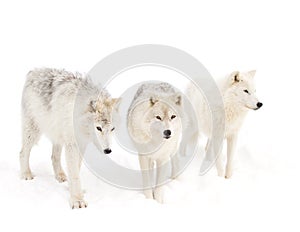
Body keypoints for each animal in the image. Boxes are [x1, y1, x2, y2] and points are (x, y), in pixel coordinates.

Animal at [19, 68, 120, 209]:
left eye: (112, 129)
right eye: (98, 128)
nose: (108, 151)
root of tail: (34, 71)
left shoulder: (81, 144)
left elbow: (75, 169)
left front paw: (72, 190)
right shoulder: (72, 144)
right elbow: (74, 173)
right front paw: (77, 200)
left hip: (58, 136)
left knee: (54, 157)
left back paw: (60, 176)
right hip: (33, 131)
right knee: (22, 153)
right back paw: (26, 174)